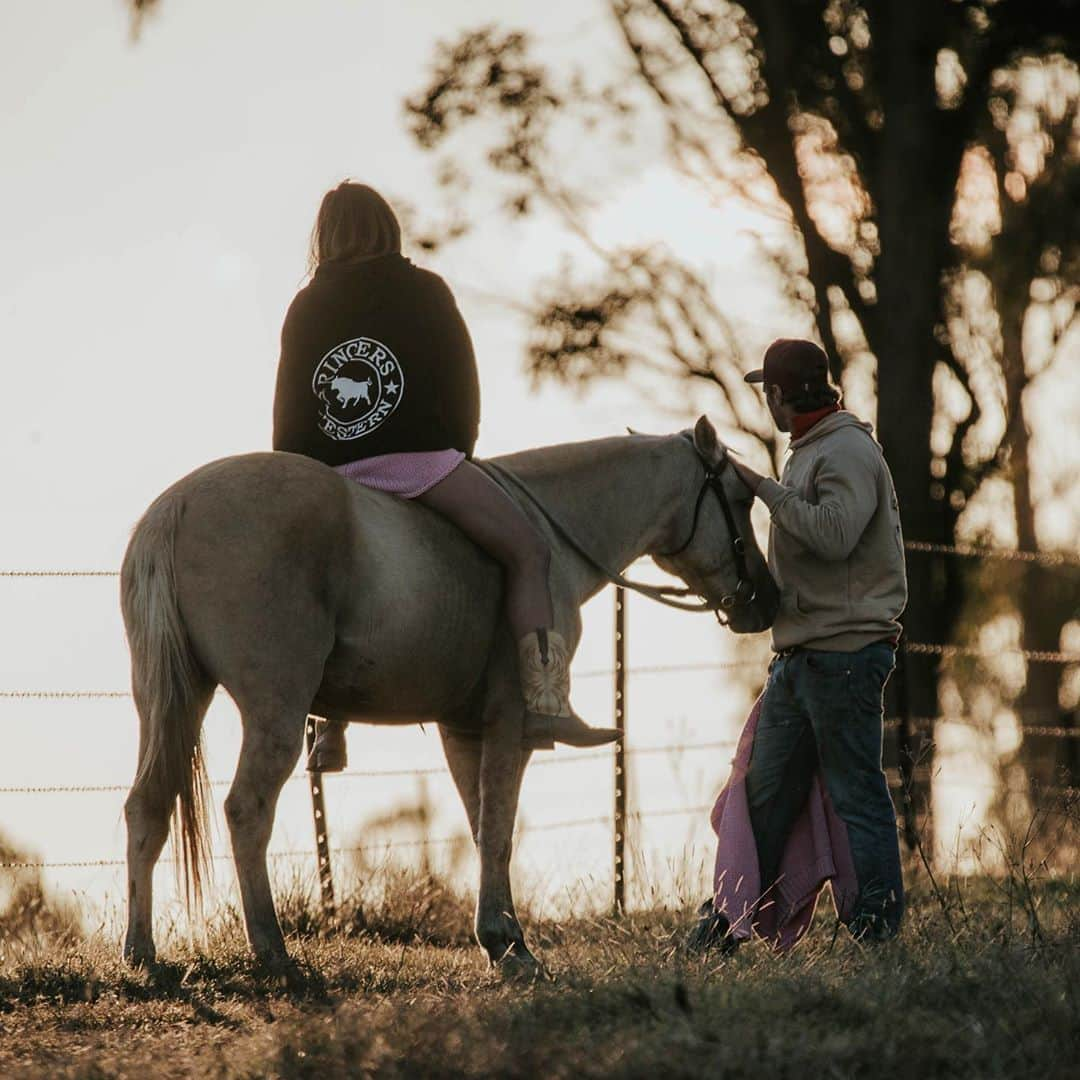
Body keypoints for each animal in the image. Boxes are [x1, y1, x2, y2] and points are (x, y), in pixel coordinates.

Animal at [120, 416, 777, 976]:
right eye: (741, 499)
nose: (765, 600)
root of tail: (176, 507)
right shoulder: (509, 725)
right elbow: (499, 829)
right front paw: (511, 946)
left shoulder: (462, 728)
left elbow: (482, 826)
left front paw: (500, 941)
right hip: (273, 712)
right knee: (247, 811)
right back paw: (273, 951)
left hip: (172, 705)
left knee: (145, 809)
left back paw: (142, 952)